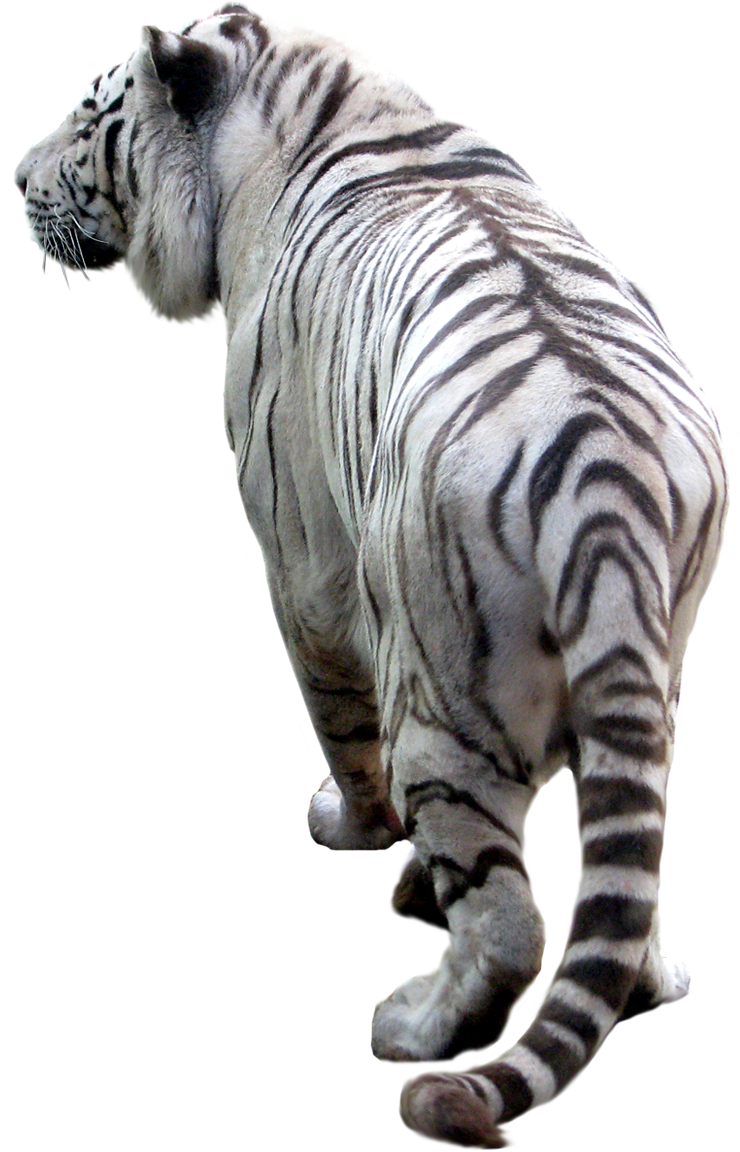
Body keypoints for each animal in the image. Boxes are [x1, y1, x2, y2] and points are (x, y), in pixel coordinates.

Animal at [19, 11, 725, 1149]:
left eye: (89, 122)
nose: (17, 180)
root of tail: (604, 475)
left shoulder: (302, 552)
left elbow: (343, 738)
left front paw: (351, 836)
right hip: (641, 666)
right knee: (625, 858)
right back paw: (651, 974)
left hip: (440, 699)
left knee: (504, 922)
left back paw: (413, 1038)